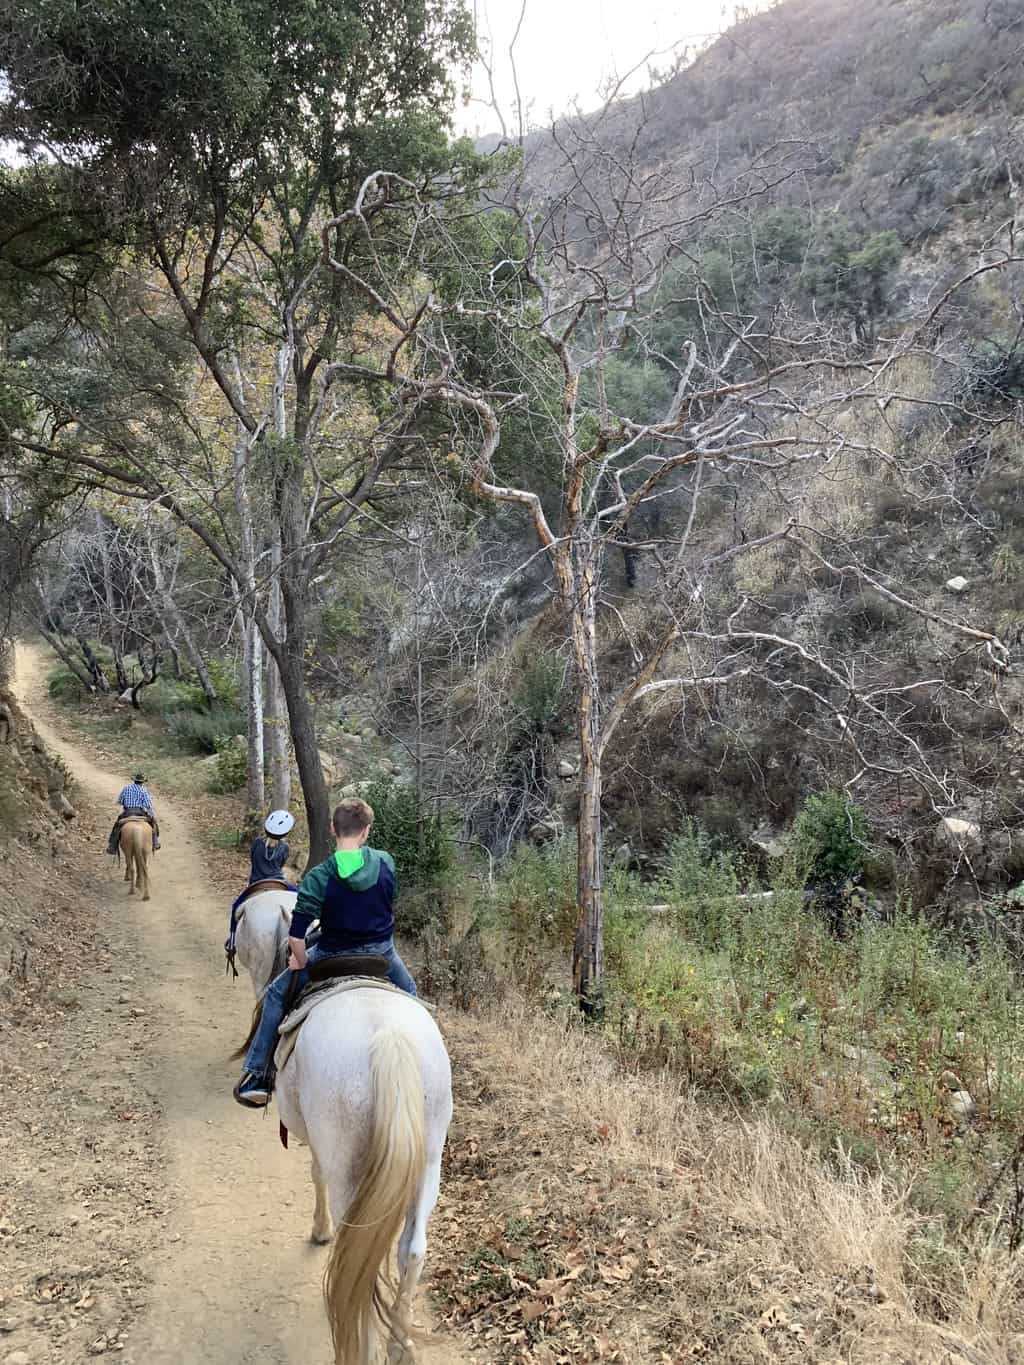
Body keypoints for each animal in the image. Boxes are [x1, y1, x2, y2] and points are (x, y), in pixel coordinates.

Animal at [277, 988, 453, 1365]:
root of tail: (388, 1036)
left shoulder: (320, 1148)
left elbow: (316, 1173)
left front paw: (320, 1230)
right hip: (431, 1160)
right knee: (412, 1251)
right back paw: (400, 1346)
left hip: (347, 1169)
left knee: (357, 1265)